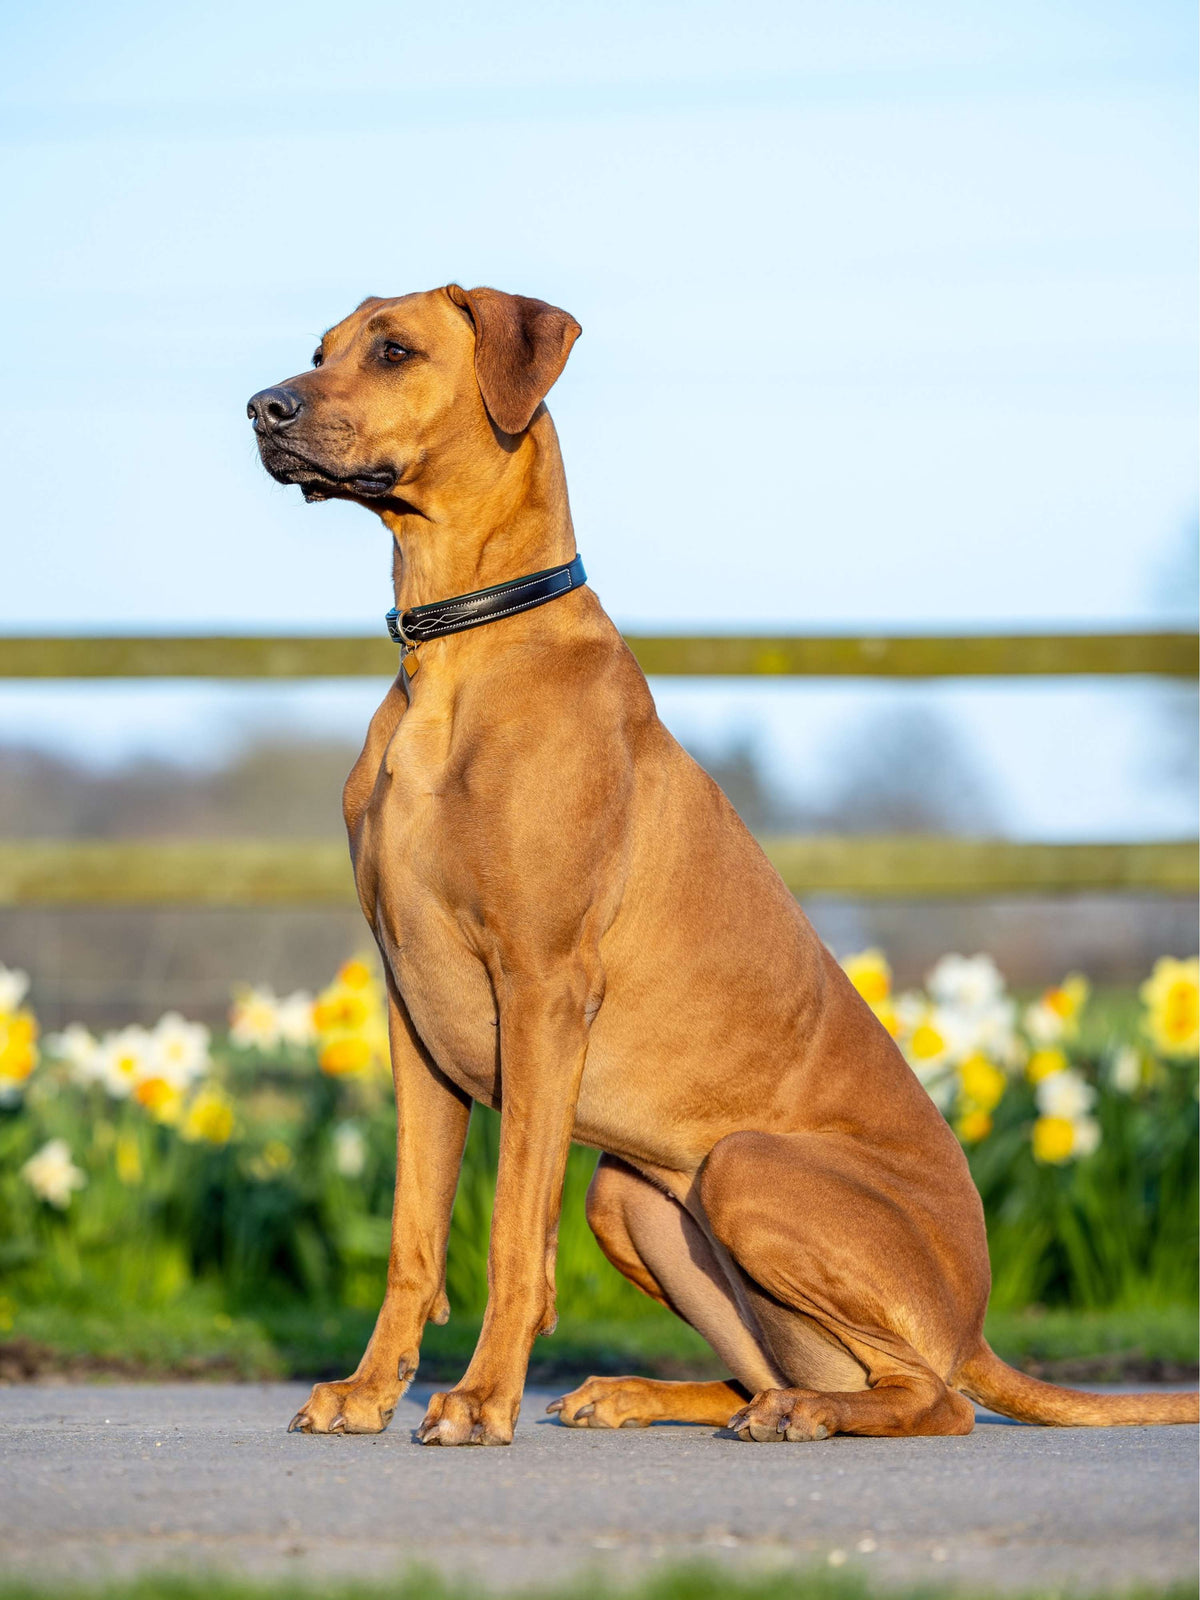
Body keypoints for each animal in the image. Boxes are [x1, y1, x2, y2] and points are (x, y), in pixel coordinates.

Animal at [249, 288, 1196, 1452]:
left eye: (394, 351)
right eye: (319, 350)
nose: (263, 408)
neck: (458, 651)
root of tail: (974, 1319)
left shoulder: (542, 988)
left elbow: (512, 1235)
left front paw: (477, 1399)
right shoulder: (414, 1012)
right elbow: (412, 1238)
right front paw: (369, 1389)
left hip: (747, 1168)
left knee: (937, 1401)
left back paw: (808, 1413)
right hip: (633, 1195)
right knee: (774, 1371)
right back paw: (665, 1395)